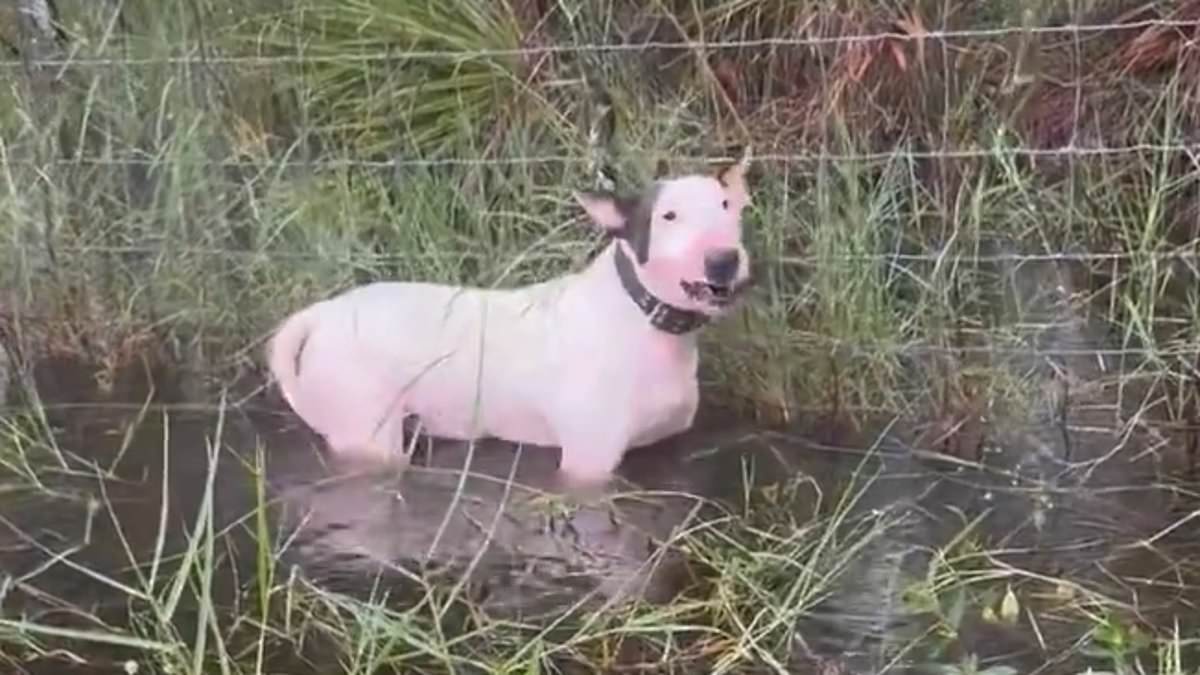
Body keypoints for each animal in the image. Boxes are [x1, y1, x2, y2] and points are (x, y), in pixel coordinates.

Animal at [267, 154, 753, 485]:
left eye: (728, 206)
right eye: (668, 216)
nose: (724, 260)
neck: (642, 317)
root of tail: (321, 313)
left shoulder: (666, 446)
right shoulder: (588, 464)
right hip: (368, 432)